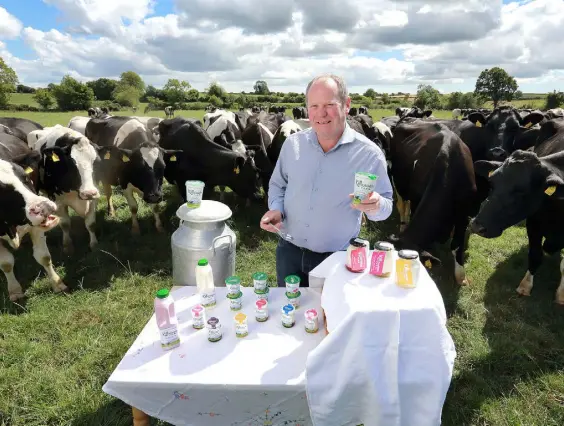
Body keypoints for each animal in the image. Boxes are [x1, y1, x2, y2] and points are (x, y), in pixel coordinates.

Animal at [0, 131, 67, 302]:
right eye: (1, 190)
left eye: (26, 177)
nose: (43, 207)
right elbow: (6, 264)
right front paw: (15, 291)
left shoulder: (35, 227)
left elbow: (43, 257)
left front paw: (58, 284)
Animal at [390, 121, 478, 284]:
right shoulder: (416, 200)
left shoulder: (464, 215)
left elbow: (457, 245)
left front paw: (461, 277)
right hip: (398, 182)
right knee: (402, 205)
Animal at [470, 118, 564, 302]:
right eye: (492, 183)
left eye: (521, 192)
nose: (476, 226)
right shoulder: (534, 222)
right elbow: (535, 255)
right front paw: (525, 286)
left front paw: (561, 295)